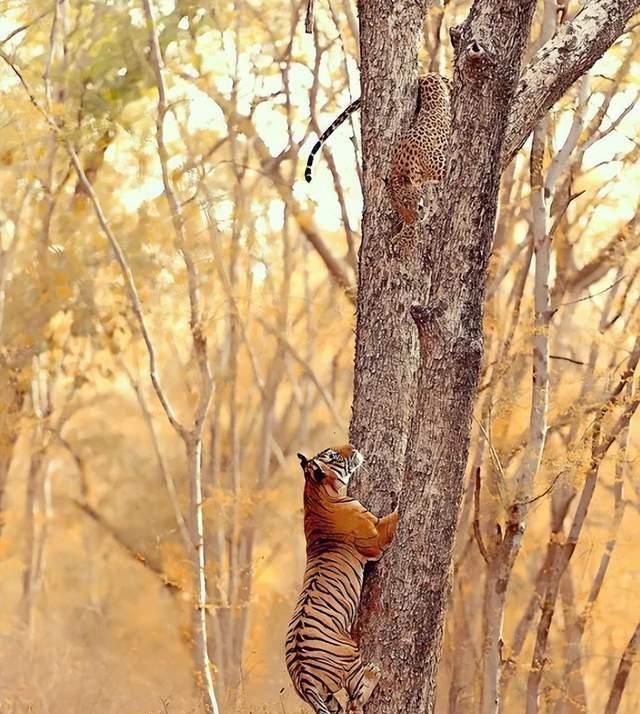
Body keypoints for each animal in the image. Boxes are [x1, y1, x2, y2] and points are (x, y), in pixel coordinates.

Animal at [286, 442, 398, 708]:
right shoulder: (376, 538)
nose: (353, 446)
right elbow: (394, 517)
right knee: (356, 701)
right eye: (333, 455)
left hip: (324, 695)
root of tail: (303, 677)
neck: (315, 492)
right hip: (349, 656)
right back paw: (374, 673)